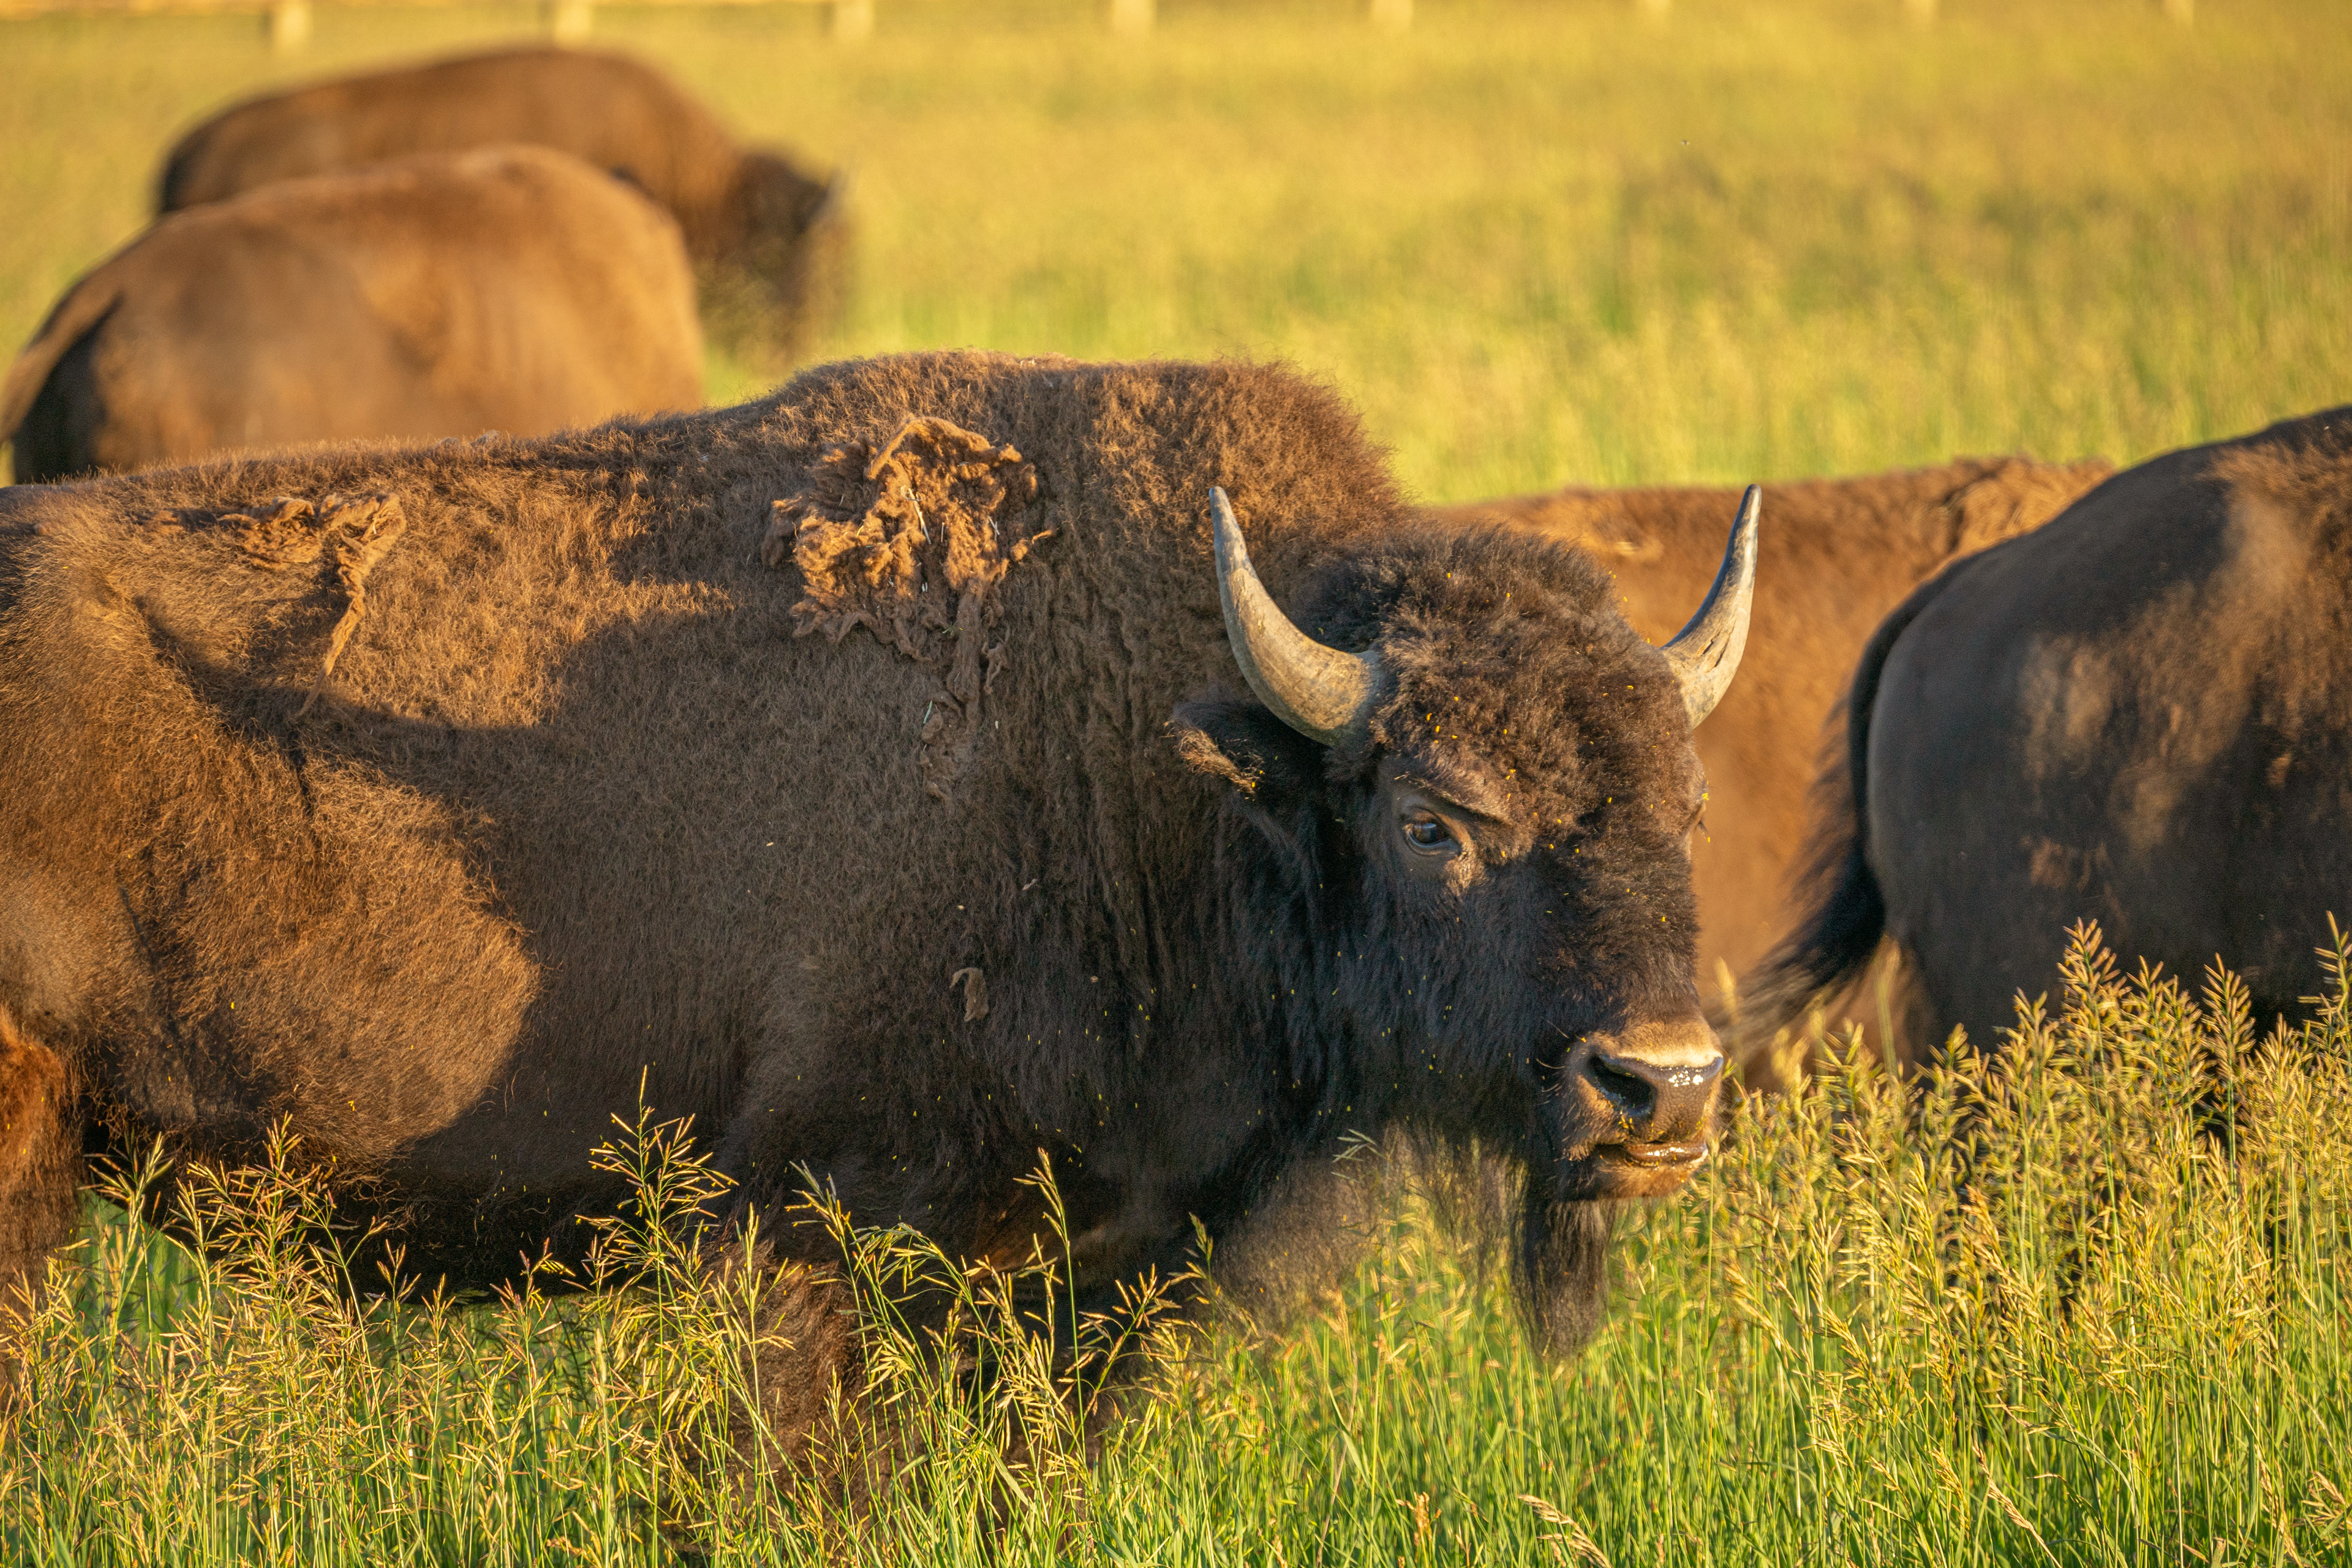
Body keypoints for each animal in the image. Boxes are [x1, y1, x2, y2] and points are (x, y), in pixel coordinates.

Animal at [0, 354, 1756, 1419]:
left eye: (1688, 806)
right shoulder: (814, 1243)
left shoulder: (1088, 1284)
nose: (1661, 1087)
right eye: (1434, 823)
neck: (1162, 761)